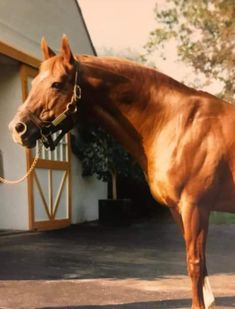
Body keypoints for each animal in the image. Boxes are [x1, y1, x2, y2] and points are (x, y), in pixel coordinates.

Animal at [8, 35, 234, 306]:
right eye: (34, 82)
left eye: (56, 84)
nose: (18, 128)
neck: (177, 123)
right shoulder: (178, 209)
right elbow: (201, 265)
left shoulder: (195, 207)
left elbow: (195, 264)